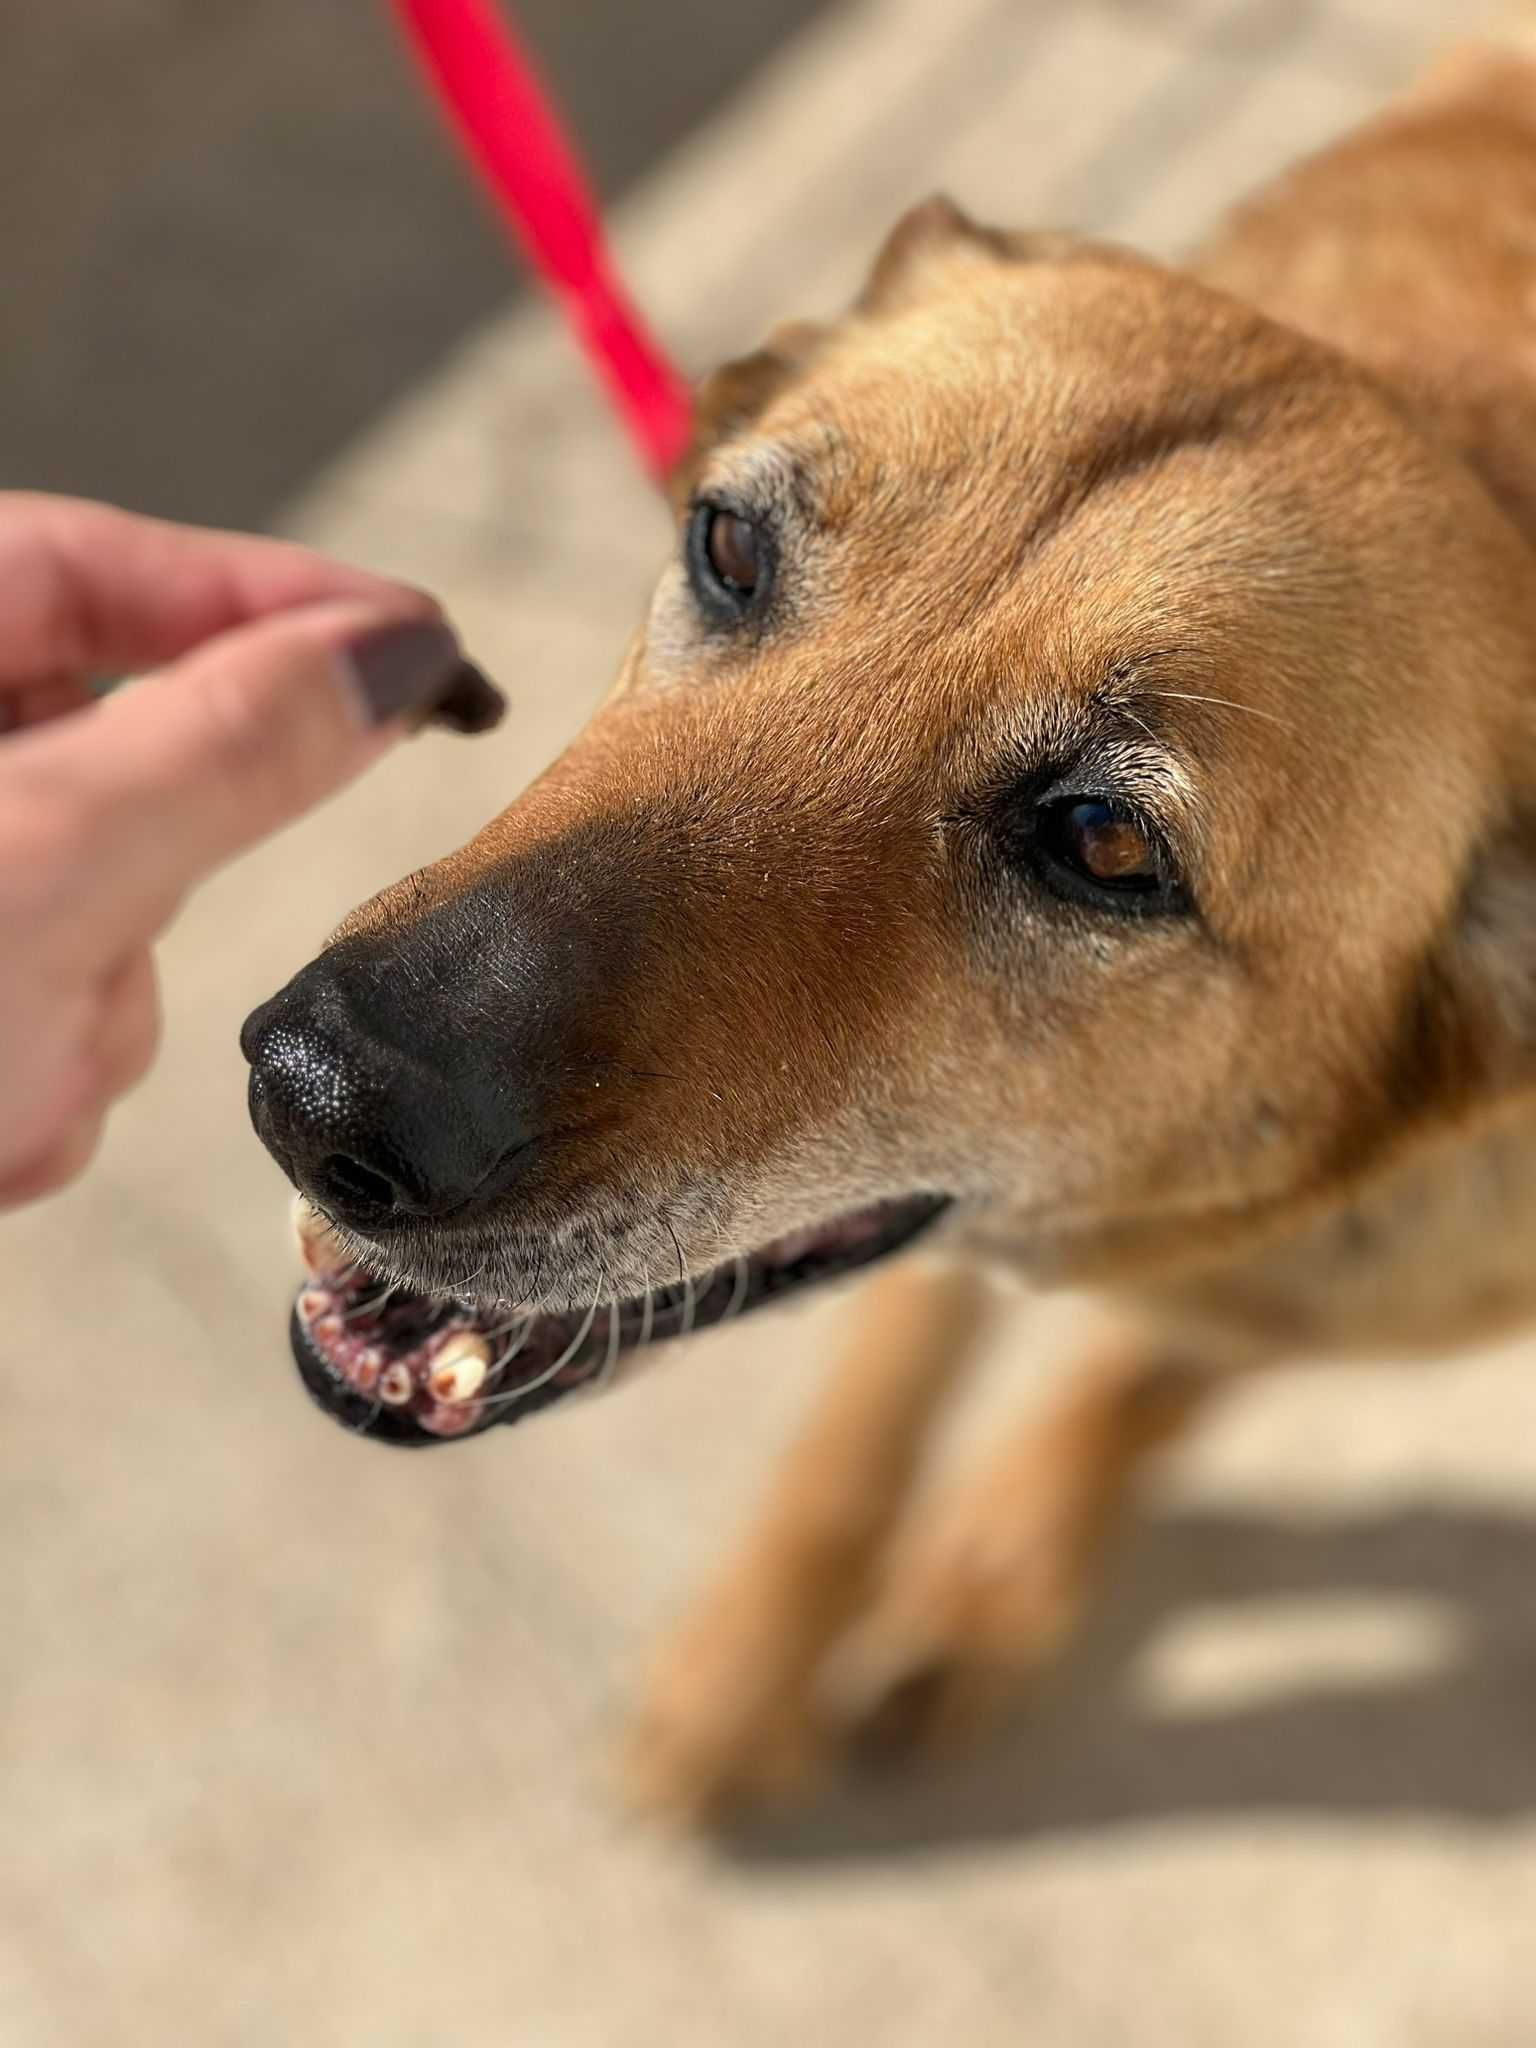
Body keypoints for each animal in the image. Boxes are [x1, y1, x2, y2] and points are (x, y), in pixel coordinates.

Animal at [243, 28, 1536, 1826]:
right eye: (727, 545)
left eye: (1104, 844)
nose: (315, 1088)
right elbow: (882, 1394)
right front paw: (755, 1657)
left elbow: (1145, 1367)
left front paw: (990, 1576)